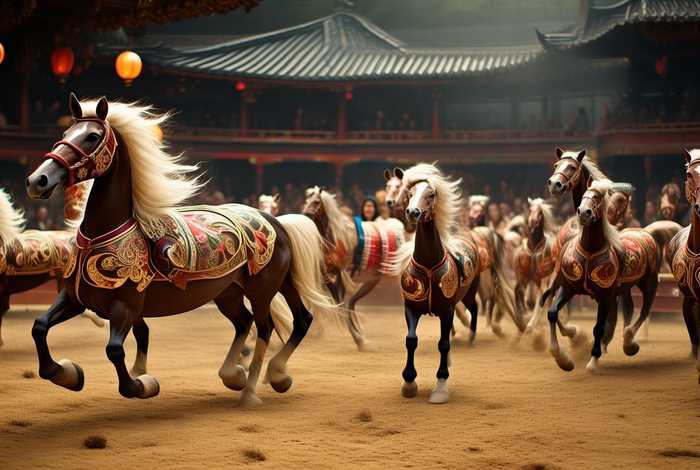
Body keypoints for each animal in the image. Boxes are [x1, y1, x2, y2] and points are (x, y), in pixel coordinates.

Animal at [25, 94, 335, 406]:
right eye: (65, 132)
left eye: (92, 136)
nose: (38, 180)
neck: (100, 236)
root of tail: (275, 221)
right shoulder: (74, 298)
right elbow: (39, 326)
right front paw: (67, 373)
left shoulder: (125, 307)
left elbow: (115, 351)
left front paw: (143, 384)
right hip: (233, 291)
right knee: (272, 321)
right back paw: (247, 375)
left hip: (263, 289)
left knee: (266, 328)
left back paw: (251, 390)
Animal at [302, 186, 404, 350]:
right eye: (307, 201)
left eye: (316, 202)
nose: (305, 214)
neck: (332, 240)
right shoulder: (328, 275)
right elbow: (337, 303)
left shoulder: (339, 274)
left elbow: (341, 304)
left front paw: (358, 337)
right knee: (351, 302)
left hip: (374, 280)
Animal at [389, 163, 486, 404]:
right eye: (410, 193)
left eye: (431, 194)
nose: (413, 212)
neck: (429, 264)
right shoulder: (411, 308)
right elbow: (411, 340)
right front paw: (409, 382)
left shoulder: (446, 309)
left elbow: (443, 344)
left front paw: (440, 387)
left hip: (468, 294)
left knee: (474, 308)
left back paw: (471, 338)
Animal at [545, 178, 660, 372]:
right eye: (584, 195)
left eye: (597, 198)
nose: (583, 213)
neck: (590, 250)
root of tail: (644, 232)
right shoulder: (568, 288)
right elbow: (552, 313)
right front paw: (563, 359)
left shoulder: (605, 296)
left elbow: (598, 328)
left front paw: (593, 361)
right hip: (623, 289)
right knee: (629, 308)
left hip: (649, 283)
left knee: (644, 311)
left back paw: (629, 340)